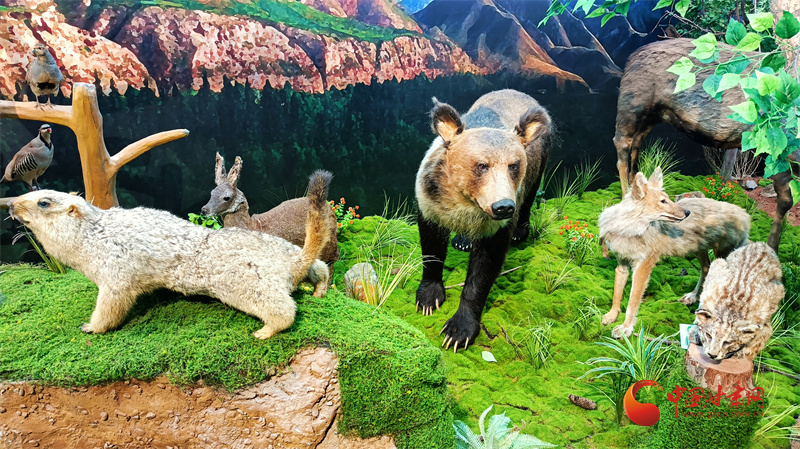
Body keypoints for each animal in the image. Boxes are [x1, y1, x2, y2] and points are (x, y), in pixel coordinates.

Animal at [415, 89, 553, 351]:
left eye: (513, 166)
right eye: (481, 165)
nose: (503, 206)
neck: (466, 202)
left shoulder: (497, 225)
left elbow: (485, 266)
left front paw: (457, 331)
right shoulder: (431, 196)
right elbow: (431, 244)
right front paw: (428, 298)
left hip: (541, 159)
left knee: (530, 195)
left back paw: (520, 232)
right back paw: (462, 240)